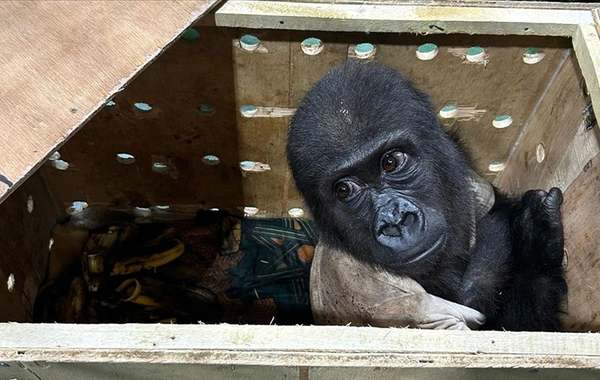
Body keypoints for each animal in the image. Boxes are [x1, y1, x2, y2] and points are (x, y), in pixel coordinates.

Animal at [286, 61, 568, 330]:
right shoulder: (383, 295)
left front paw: (535, 238)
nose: (395, 220)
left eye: (391, 162)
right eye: (344, 190)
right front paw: (535, 247)